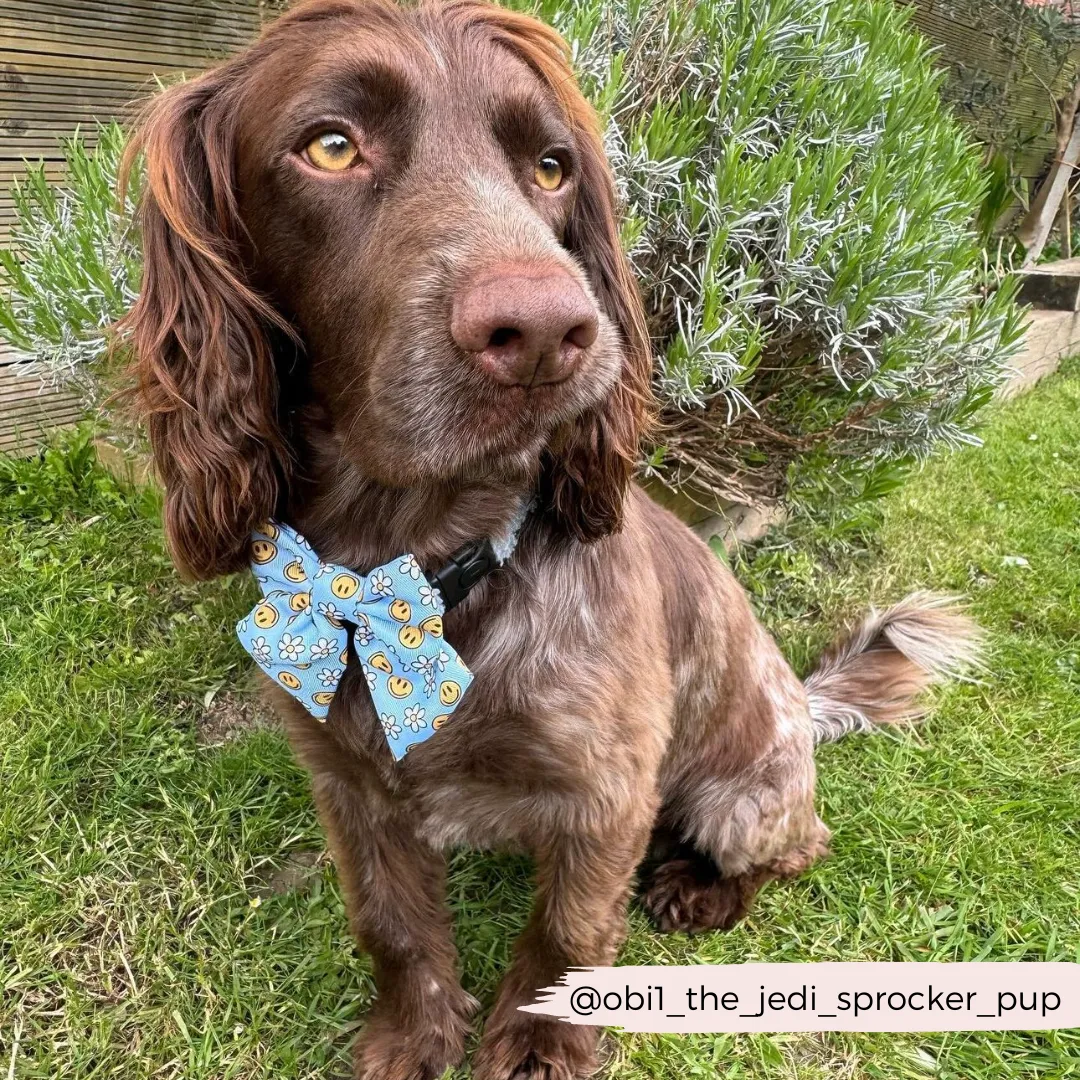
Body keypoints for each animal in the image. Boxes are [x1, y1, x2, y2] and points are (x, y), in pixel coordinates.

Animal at [122, 4, 984, 1075]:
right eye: (330, 146)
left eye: (549, 167)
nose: (546, 331)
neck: (412, 579)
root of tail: (802, 697)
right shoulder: (350, 786)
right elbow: (392, 924)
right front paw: (413, 1035)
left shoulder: (606, 795)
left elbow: (569, 933)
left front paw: (540, 1046)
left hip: (742, 797)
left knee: (796, 845)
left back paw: (701, 886)